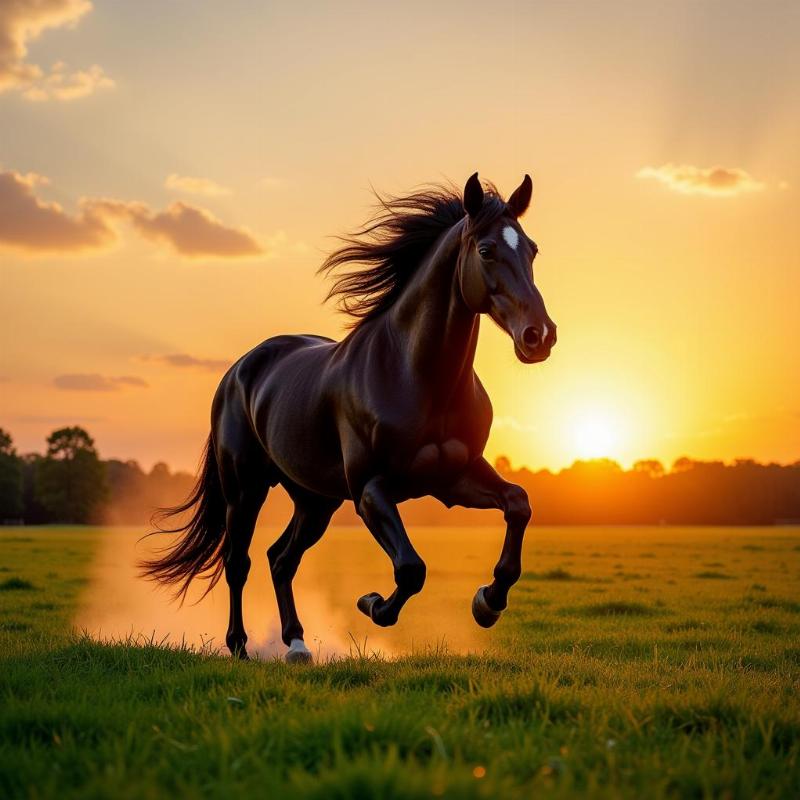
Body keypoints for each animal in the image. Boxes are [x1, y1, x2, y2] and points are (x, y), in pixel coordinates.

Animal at [142, 172, 556, 660]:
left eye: (532, 249)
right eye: (487, 250)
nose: (540, 335)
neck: (413, 374)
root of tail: (239, 369)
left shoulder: (453, 479)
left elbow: (518, 504)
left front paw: (487, 603)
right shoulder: (370, 490)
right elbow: (411, 568)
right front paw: (373, 604)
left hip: (314, 500)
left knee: (280, 559)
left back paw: (297, 644)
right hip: (245, 489)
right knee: (238, 561)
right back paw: (240, 646)